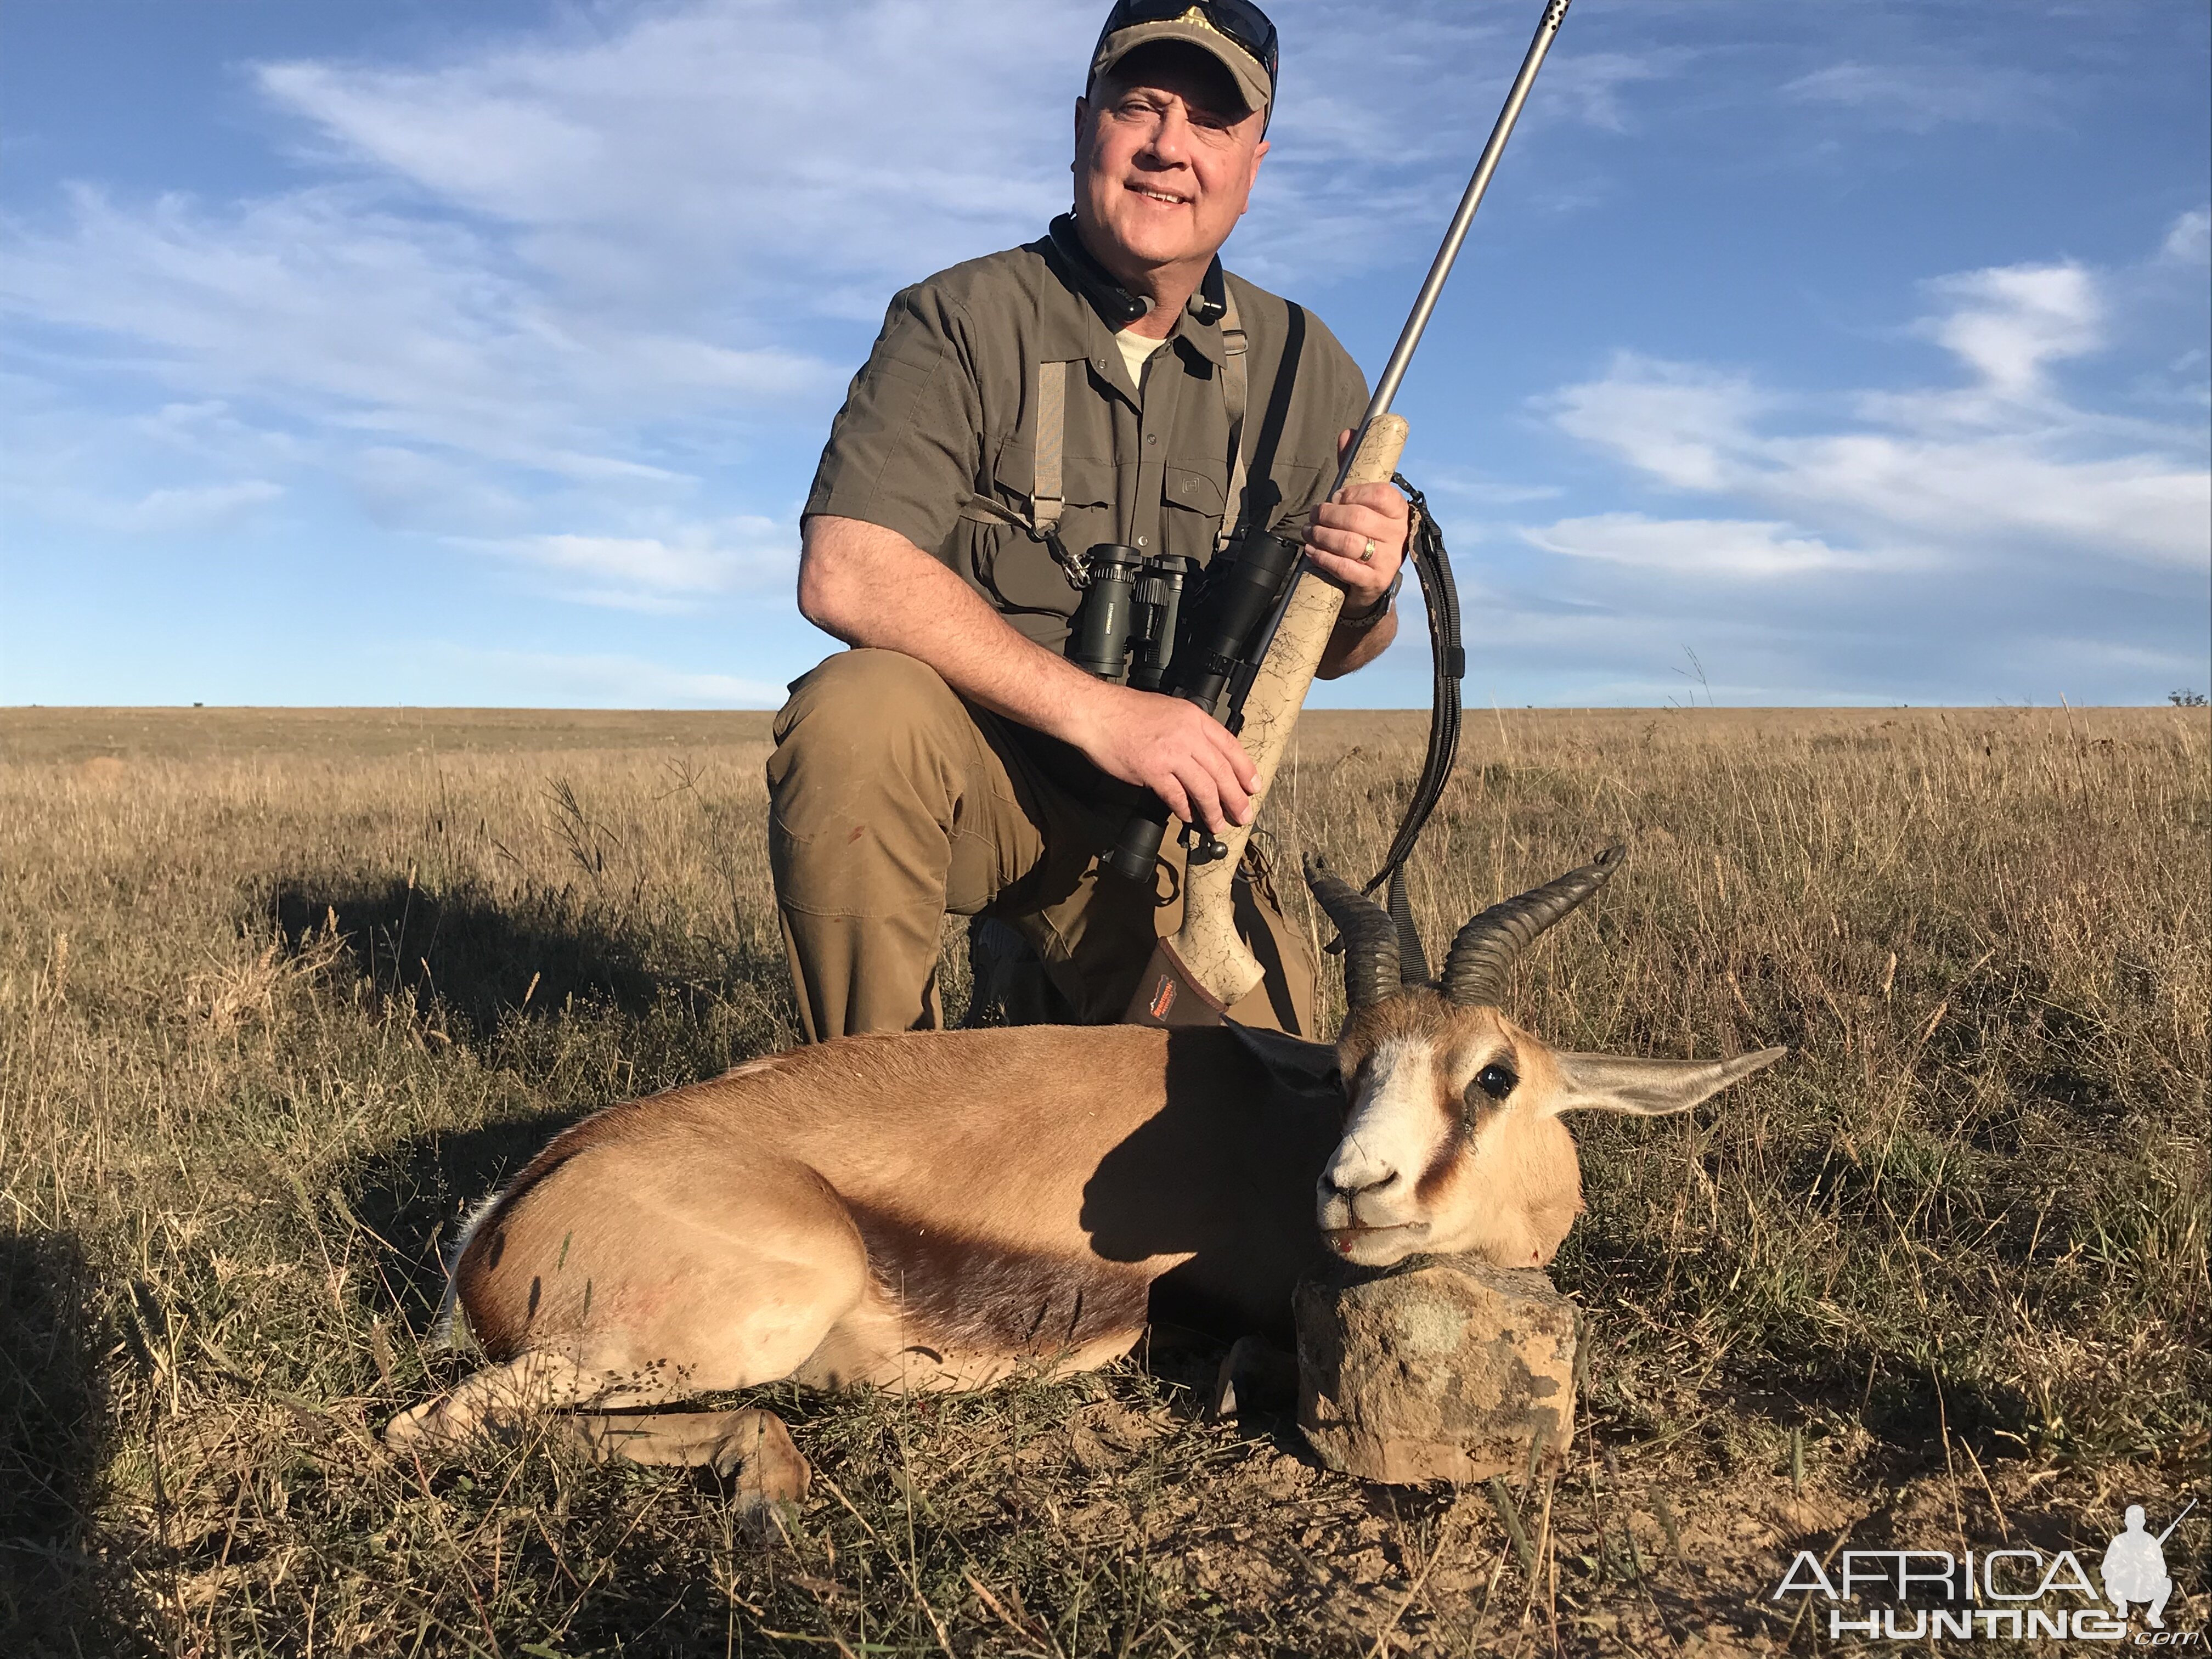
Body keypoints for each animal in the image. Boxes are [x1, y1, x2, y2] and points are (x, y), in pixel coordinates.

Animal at [393, 849, 1778, 1504]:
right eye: (1345, 1069)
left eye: (1493, 1075)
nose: (1357, 1192)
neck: (1268, 1135)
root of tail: (514, 1206)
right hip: (742, 1318)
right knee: (424, 1430)